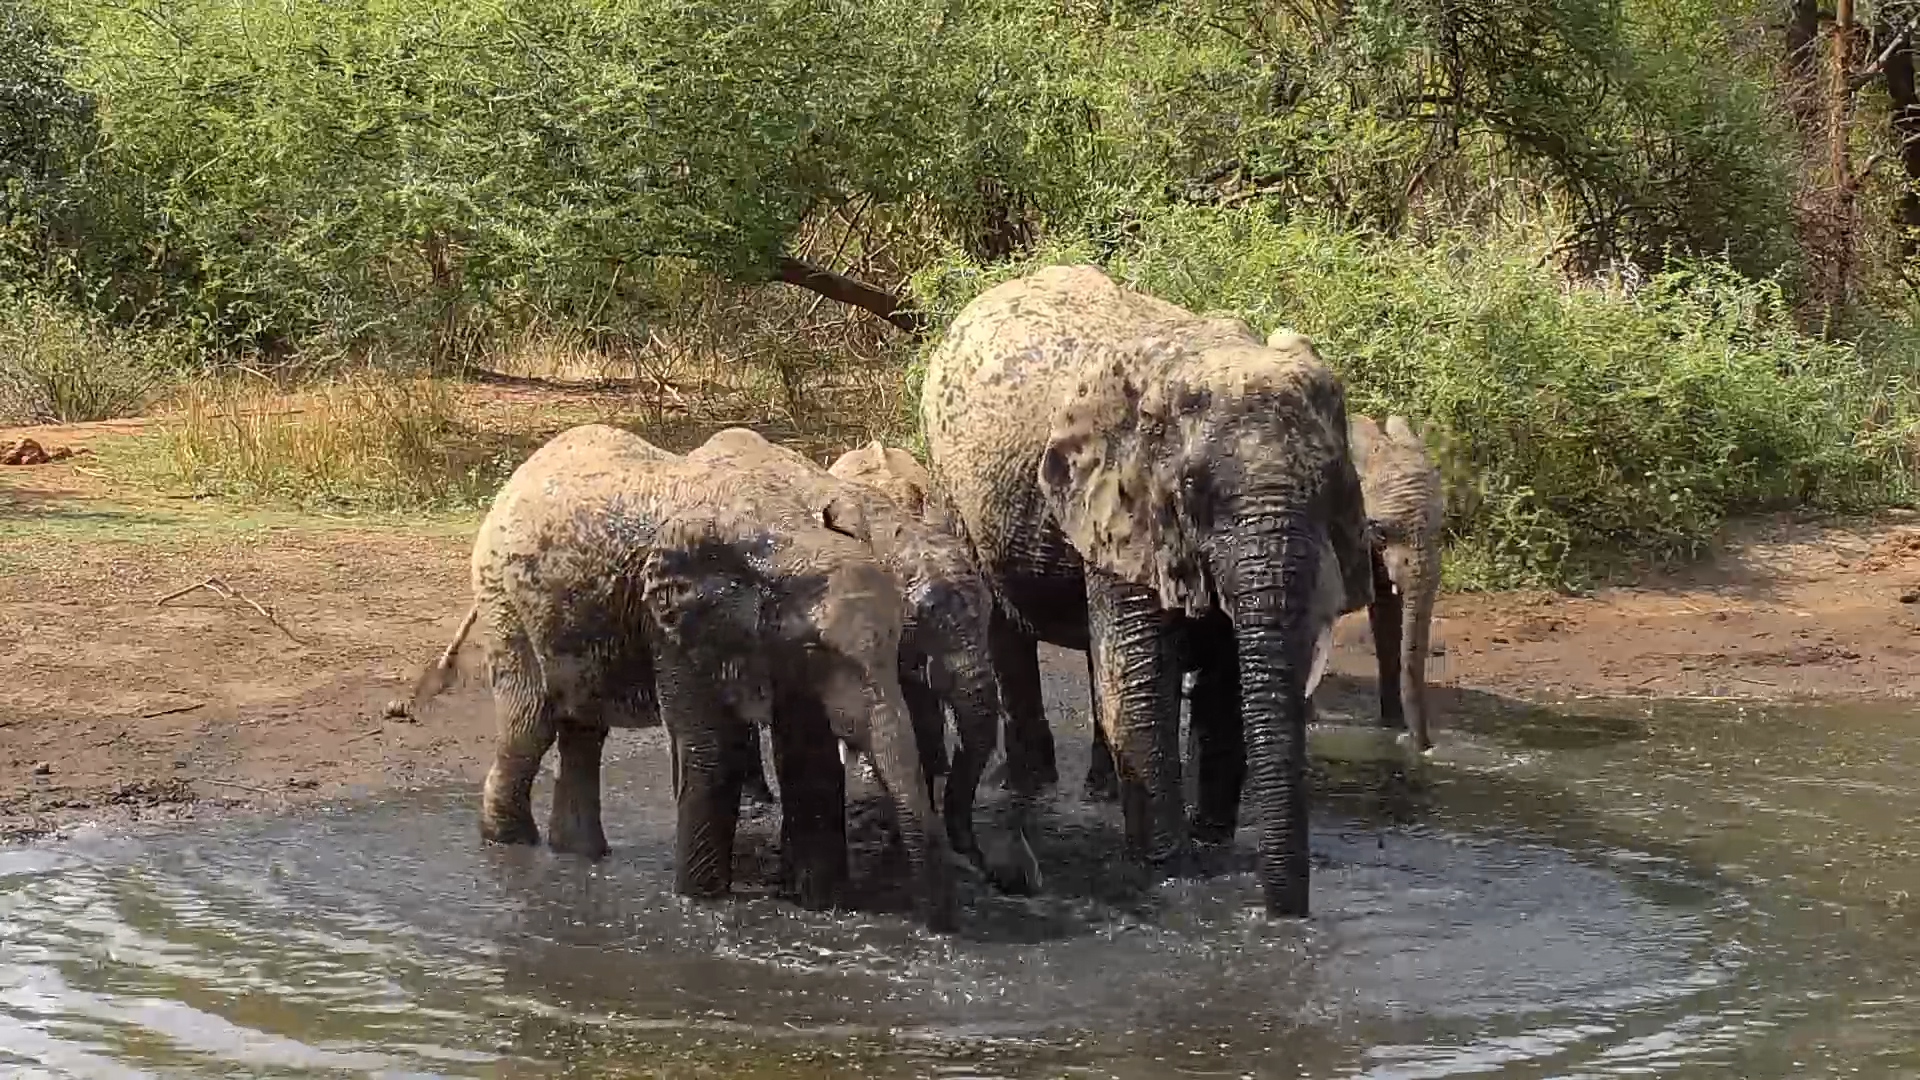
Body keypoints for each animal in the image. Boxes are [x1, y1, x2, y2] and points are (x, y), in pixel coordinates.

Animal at [410, 423, 956, 932]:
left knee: (583, 730)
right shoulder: (674, 622)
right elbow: (713, 752)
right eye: (814, 649)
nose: (935, 928)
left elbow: (809, 759)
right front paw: (701, 904)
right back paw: (512, 850)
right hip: (503, 601)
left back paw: (579, 856)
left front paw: (821, 904)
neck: (791, 532)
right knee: (530, 727)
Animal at [920, 265, 1373, 917]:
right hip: (958, 491)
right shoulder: (1120, 503)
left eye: (1332, 481)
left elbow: (1225, 683)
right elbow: (1141, 689)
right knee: (1010, 628)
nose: (1283, 914)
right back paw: (1036, 788)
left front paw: (1213, 848)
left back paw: (1099, 793)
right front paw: (1171, 876)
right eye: (1190, 487)